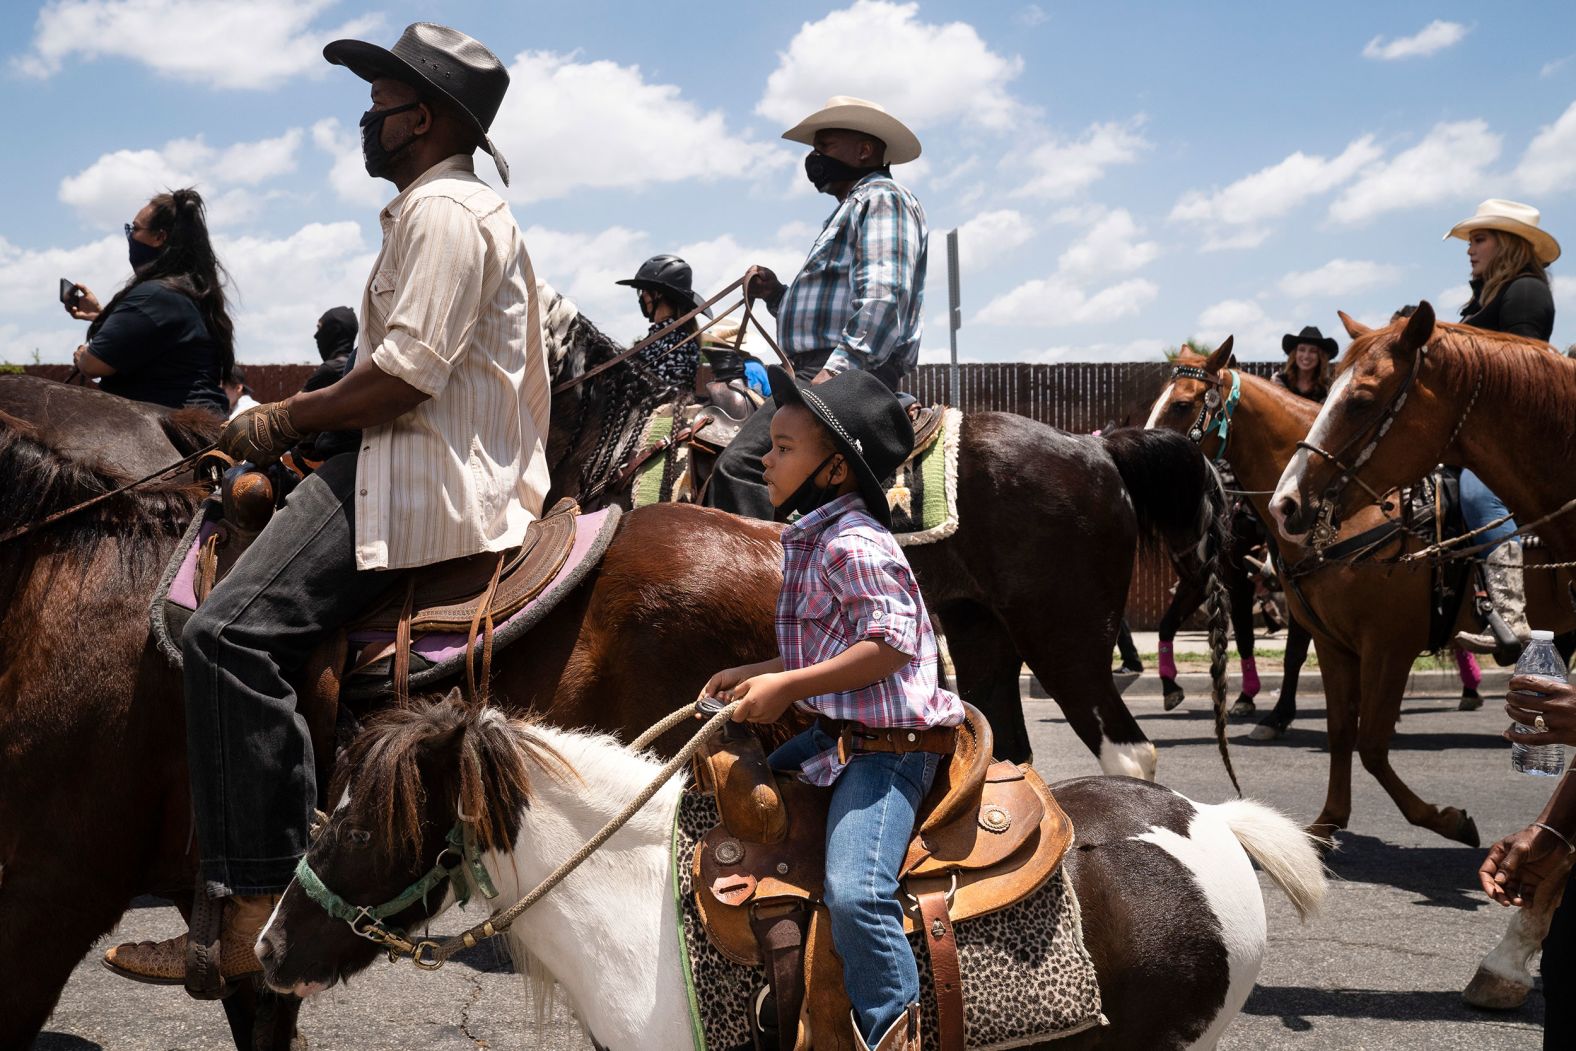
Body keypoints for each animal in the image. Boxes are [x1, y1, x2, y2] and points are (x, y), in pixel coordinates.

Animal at [1267, 304, 1576, 1008]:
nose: (1284, 504)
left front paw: (1447, 821)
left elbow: (1372, 741)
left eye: (1361, 399)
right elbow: (1342, 733)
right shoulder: (1334, 644)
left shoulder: (1389, 645)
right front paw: (1325, 824)